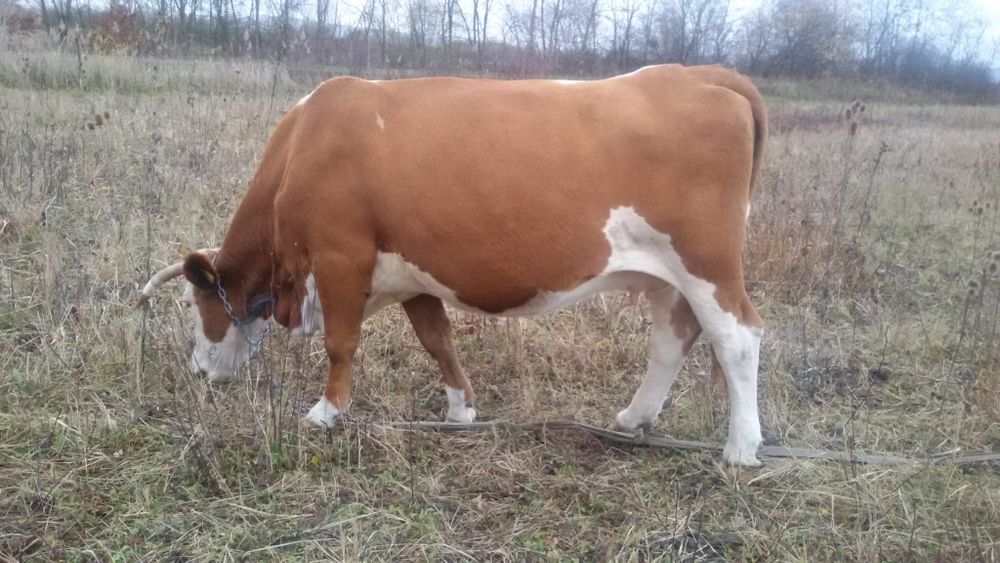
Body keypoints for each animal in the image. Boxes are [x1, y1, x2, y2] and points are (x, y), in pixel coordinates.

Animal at [138, 64, 768, 466]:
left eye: (196, 303)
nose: (198, 371)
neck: (303, 145)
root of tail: (699, 73)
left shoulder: (341, 257)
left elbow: (342, 344)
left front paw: (325, 413)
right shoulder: (414, 270)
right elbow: (437, 339)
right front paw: (461, 411)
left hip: (708, 264)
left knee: (738, 338)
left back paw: (741, 449)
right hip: (666, 275)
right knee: (671, 340)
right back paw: (633, 419)